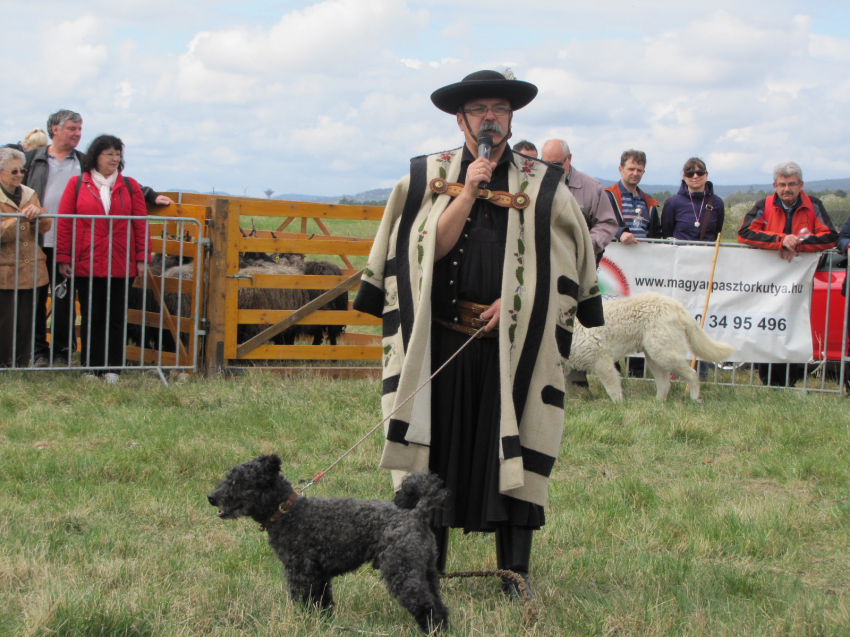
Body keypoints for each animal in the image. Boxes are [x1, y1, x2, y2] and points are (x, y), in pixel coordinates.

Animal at [206, 454, 450, 632]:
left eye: (237, 482)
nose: (211, 497)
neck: (287, 512)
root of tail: (417, 514)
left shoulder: (300, 572)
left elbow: (303, 601)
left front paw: (302, 623)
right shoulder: (319, 575)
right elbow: (321, 603)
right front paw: (322, 623)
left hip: (401, 570)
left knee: (426, 606)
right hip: (426, 571)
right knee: (439, 604)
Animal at [564, 290, 736, 400]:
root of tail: (675, 305)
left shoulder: (602, 362)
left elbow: (614, 390)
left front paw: (619, 406)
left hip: (665, 355)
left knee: (692, 375)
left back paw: (695, 399)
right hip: (654, 359)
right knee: (665, 385)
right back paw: (657, 405)